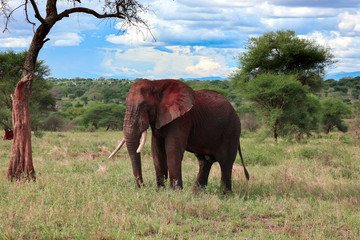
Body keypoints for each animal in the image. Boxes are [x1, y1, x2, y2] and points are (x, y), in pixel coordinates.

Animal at [109, 79, 250, 192]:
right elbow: (157, 151)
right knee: (205, 161)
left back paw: (225, 195)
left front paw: (175, 193)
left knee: (225, 163)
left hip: (231, 131)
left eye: (144, 105)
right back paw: (197, 194)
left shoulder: (181, 119)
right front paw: (160, 191)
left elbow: (172, 149)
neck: (157, 84)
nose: (144, 187)